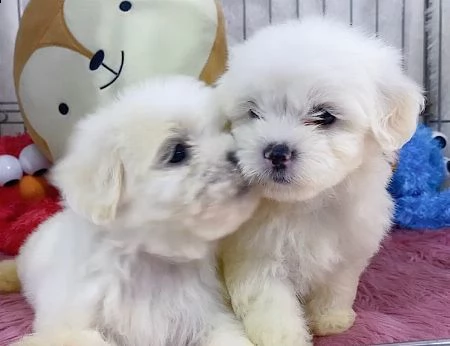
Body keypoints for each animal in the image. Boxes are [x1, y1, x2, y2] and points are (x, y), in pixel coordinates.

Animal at [14, 75, 258, 346]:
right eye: (178, 152)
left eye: (224, 130)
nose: (239, 156)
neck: (151, 260)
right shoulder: (69, 321)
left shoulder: (209, 317)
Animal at [216, 16, 424, 346]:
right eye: (253, 112)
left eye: (324, 116)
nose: (276, 151)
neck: (306, 204)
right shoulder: (255, 256)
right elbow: (270, 305)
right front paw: (282, 338)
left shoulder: (349, 248)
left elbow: (337, 285)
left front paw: (330, 319)